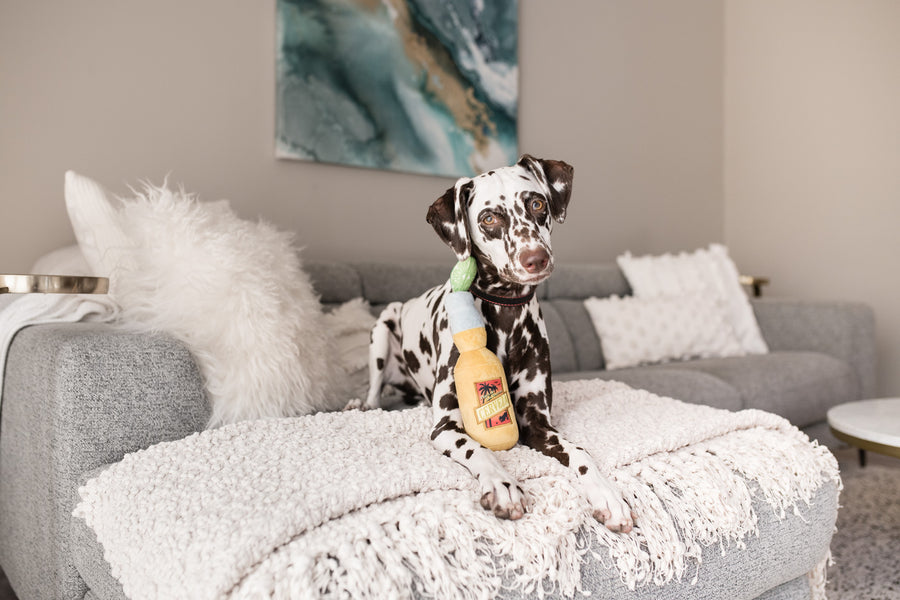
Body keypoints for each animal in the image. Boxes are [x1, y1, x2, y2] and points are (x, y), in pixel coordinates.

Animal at [364, 155, 632, 536]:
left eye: (537, 204)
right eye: (489, 218)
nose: (535, 258)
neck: (505, 312)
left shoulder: (538, 423)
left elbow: (580, 452)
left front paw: (607, 494)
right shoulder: (446, 425)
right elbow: (479, 449)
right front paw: (503, 485)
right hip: (383, 326)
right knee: (372, 392)